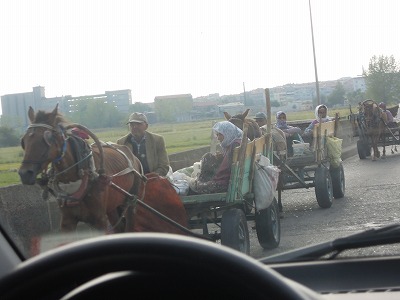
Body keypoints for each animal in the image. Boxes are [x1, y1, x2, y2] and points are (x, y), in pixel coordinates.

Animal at [18, 105, 188, 234]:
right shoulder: (67, 220)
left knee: (129, 225)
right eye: (24, 141)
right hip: (113, 206)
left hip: (132, 202)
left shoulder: (99, 219)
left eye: (47, 139)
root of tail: (134, 158)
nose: (25, 173)